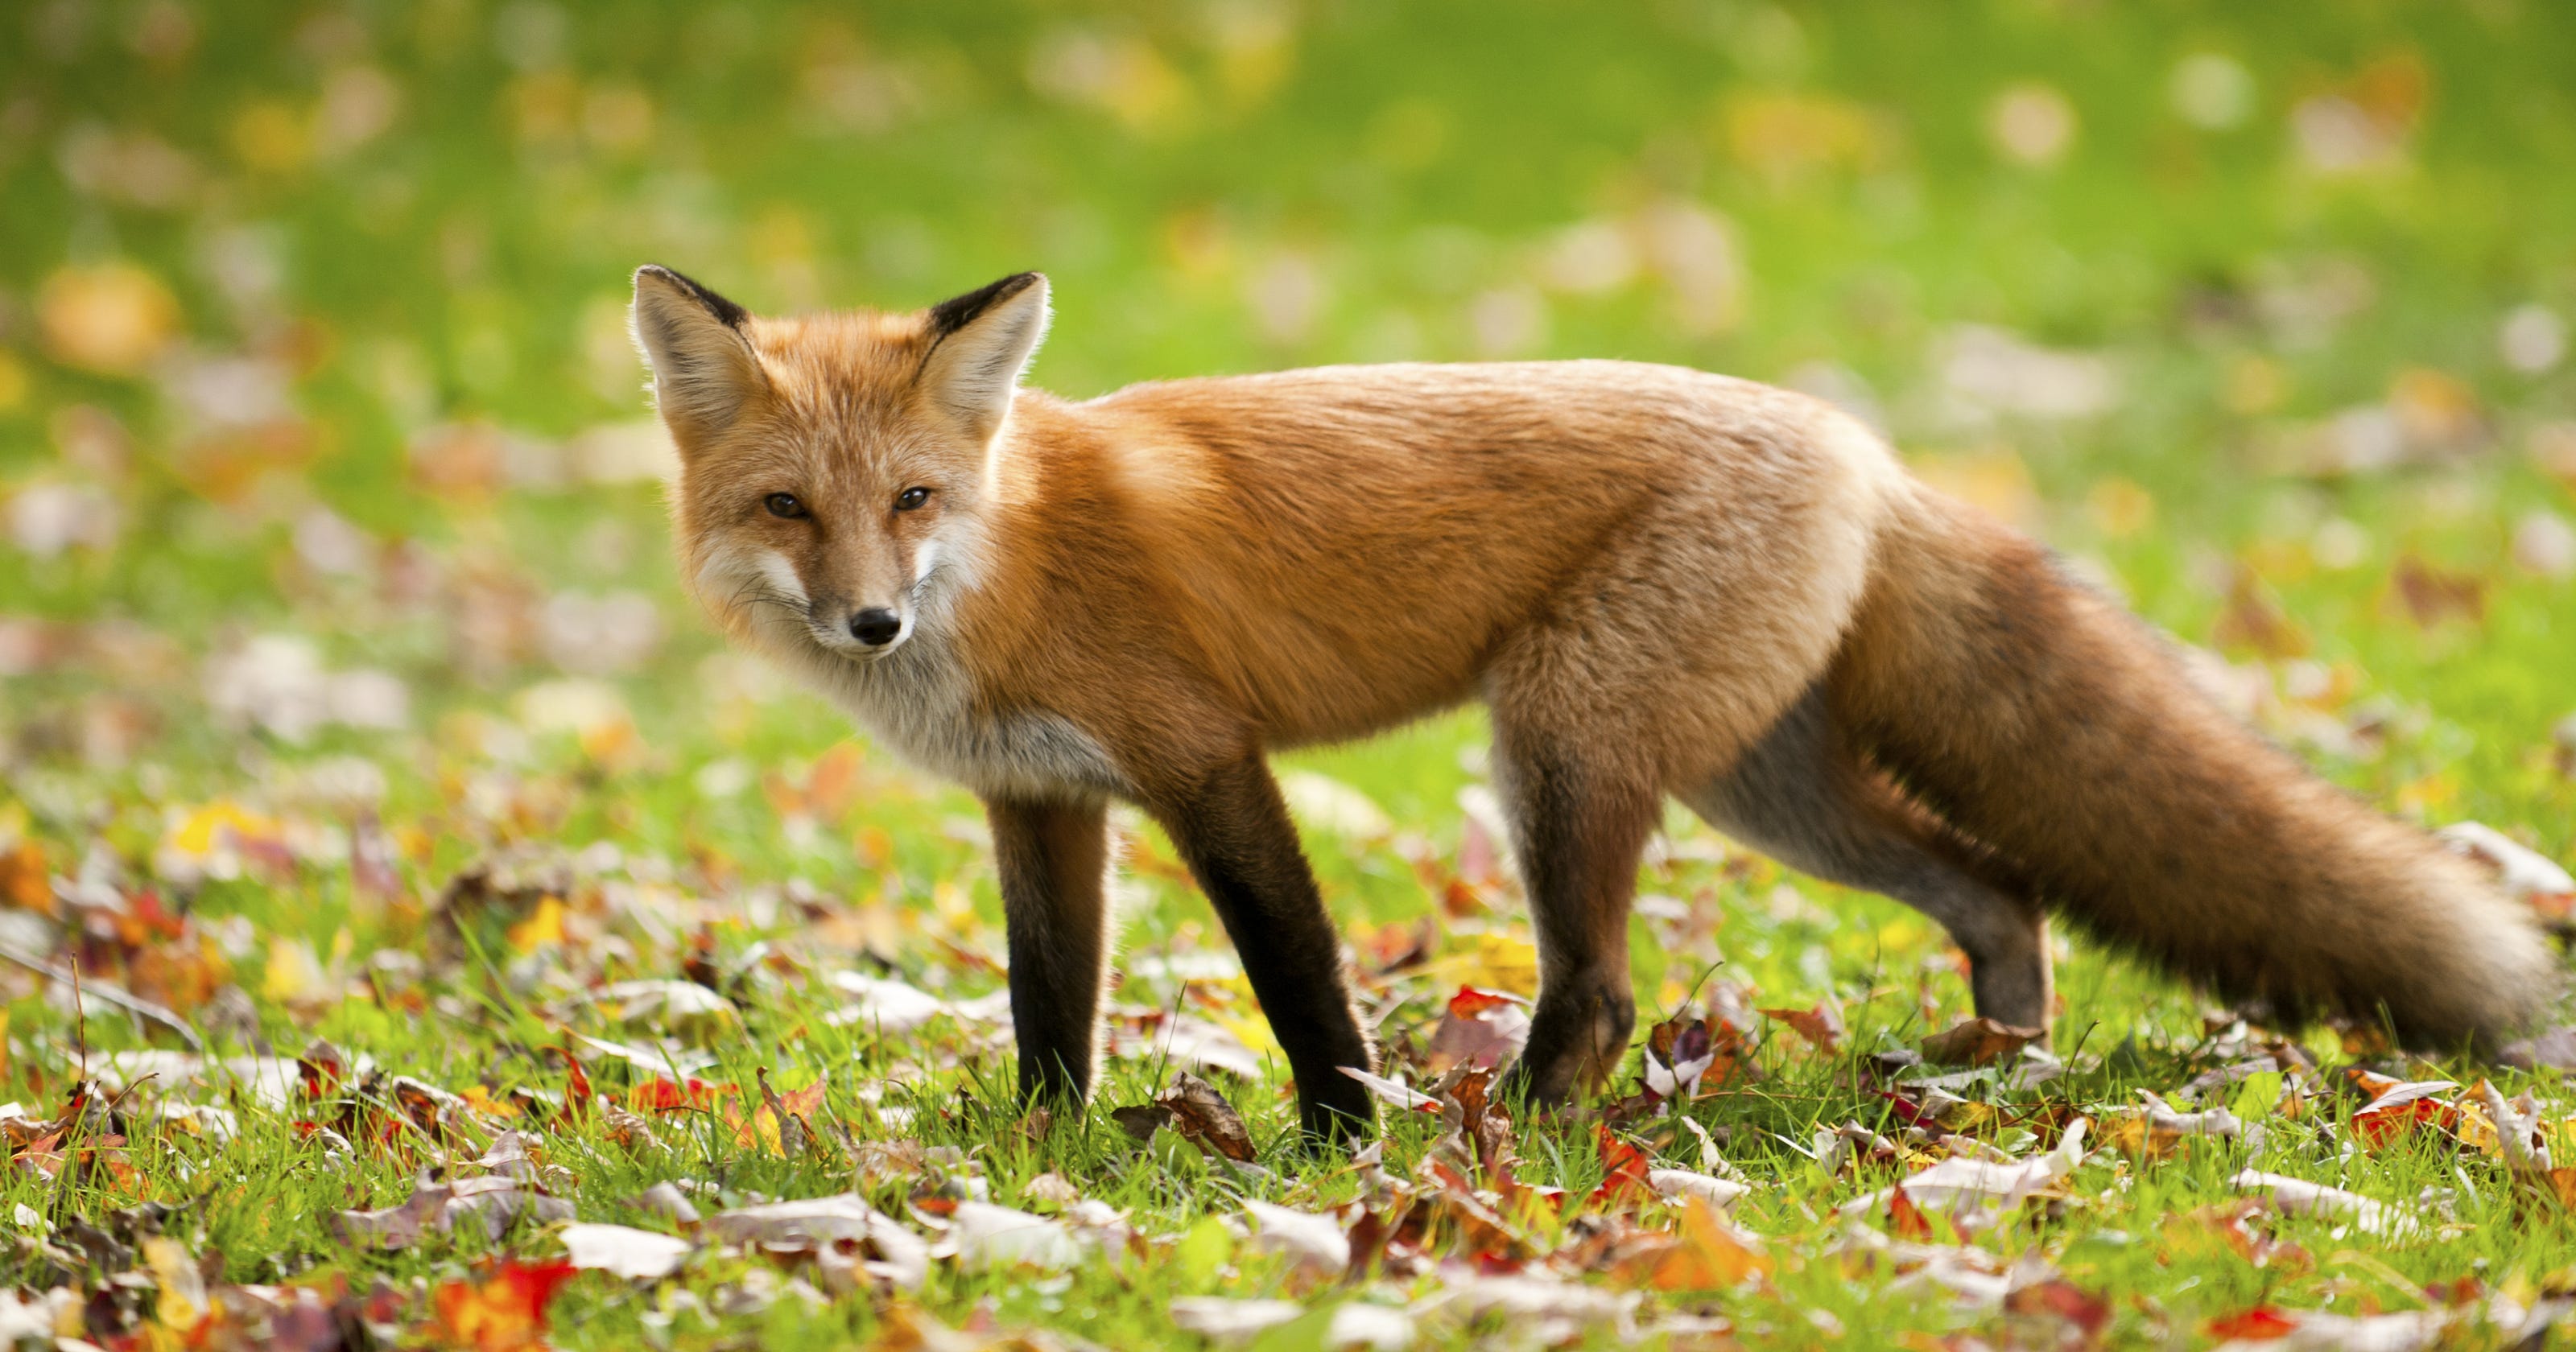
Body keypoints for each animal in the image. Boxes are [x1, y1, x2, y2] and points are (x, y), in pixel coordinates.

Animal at [631, 264, 2559, 1144]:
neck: (1015, 557)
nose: (873, 620)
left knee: (1610, 990)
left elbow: (1293, 976)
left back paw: (1518, 1146)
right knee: (1999, 886)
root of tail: (1857, 446)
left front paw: (1334, 1151)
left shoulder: (1204, 761)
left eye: (914, 500)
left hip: (1559, 752)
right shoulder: (1040, 802)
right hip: (1762, 790)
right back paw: (1990, 1068)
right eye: (790, 508)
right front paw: (1042, 1157)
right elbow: (1050, 1007)